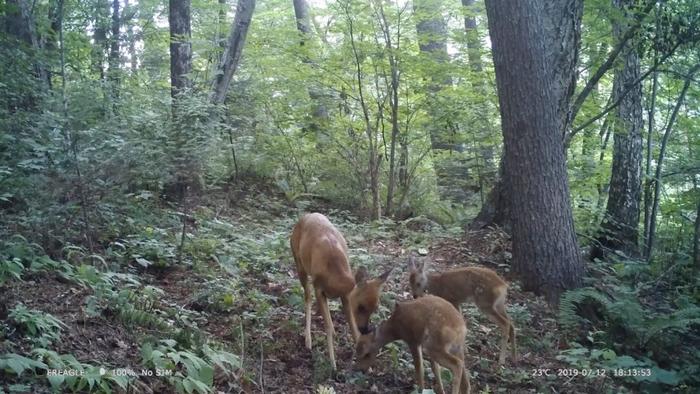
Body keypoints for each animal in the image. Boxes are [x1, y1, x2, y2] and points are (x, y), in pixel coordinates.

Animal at [288, 212, 392, 370]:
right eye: (361, 306)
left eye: (375, 308)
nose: (365, 329)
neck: (338, 279)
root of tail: (305, 216)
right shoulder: (319, 289)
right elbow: (328, 325)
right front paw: (333, 363)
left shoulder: (346, 296)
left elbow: (352, 327)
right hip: (299, 264)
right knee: (307, 297)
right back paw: (308, 340)